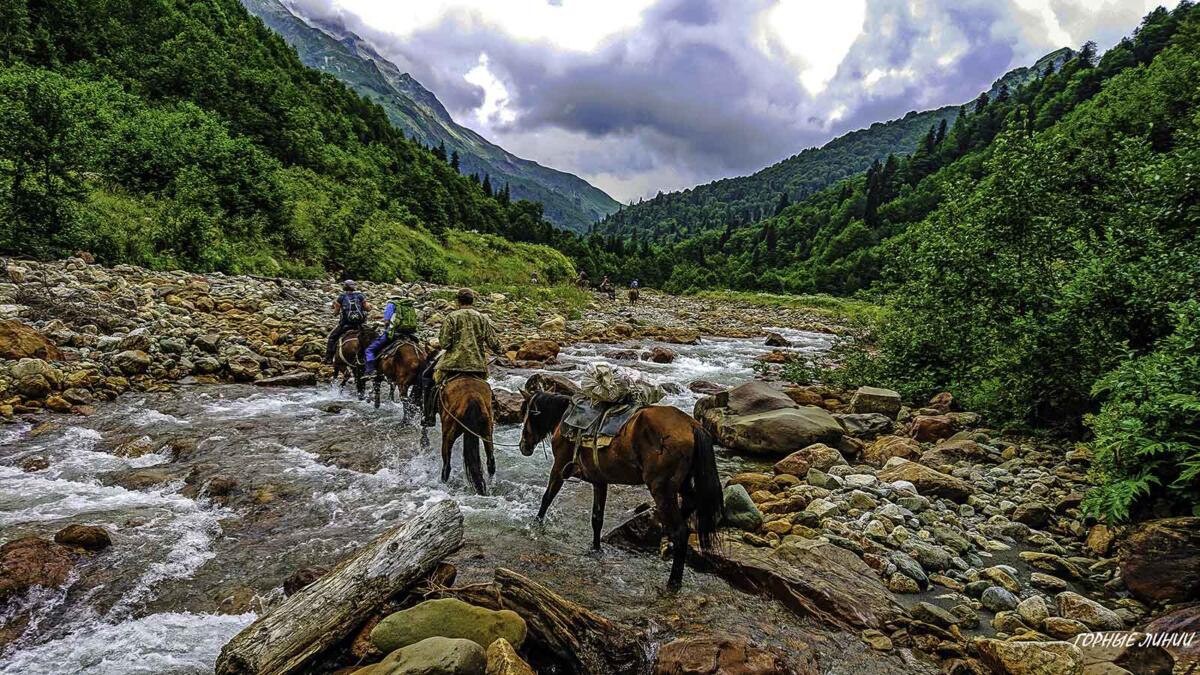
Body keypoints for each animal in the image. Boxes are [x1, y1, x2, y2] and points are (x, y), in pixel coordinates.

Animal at [518, 391, 720, 586]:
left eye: (527, 414)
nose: (523, 446)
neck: (563, 418)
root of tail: (692, 425)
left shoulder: (559, 468)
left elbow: (547, 498)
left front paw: (536, 523)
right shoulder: (599, 481)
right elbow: (597, 518)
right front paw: (596, 549)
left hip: (661, 489)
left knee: (681, 531)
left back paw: (674, 580)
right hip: (682, 485)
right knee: (691, 502)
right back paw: (665, 543)